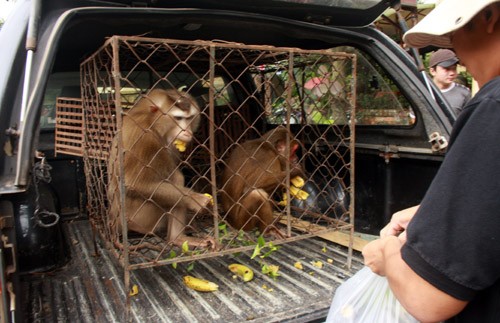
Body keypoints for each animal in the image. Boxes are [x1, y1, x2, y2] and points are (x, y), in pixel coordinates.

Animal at [107, 88, 213, 251]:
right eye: (178, 118)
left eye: (189, 118)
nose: (187, 132)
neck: (152, 122)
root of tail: (115, 222)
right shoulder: (144, 137)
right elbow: (134, 184)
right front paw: (195, 199)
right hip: (139, 218)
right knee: (176, 177)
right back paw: (177, 238)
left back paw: (178, 238)